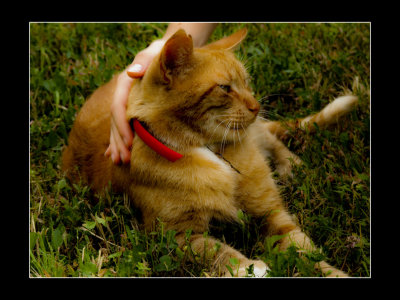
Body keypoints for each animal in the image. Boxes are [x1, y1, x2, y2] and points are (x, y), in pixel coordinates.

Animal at [62, 27, 356, 276]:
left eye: (247, 82)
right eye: (225, 88)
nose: (256, 106)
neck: (214, 153)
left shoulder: (271, 212)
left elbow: (304, 252)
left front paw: (331, 272)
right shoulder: (173, 237)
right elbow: (215, 251)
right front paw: (249, 267)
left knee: (271, 137)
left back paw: (289, 166)